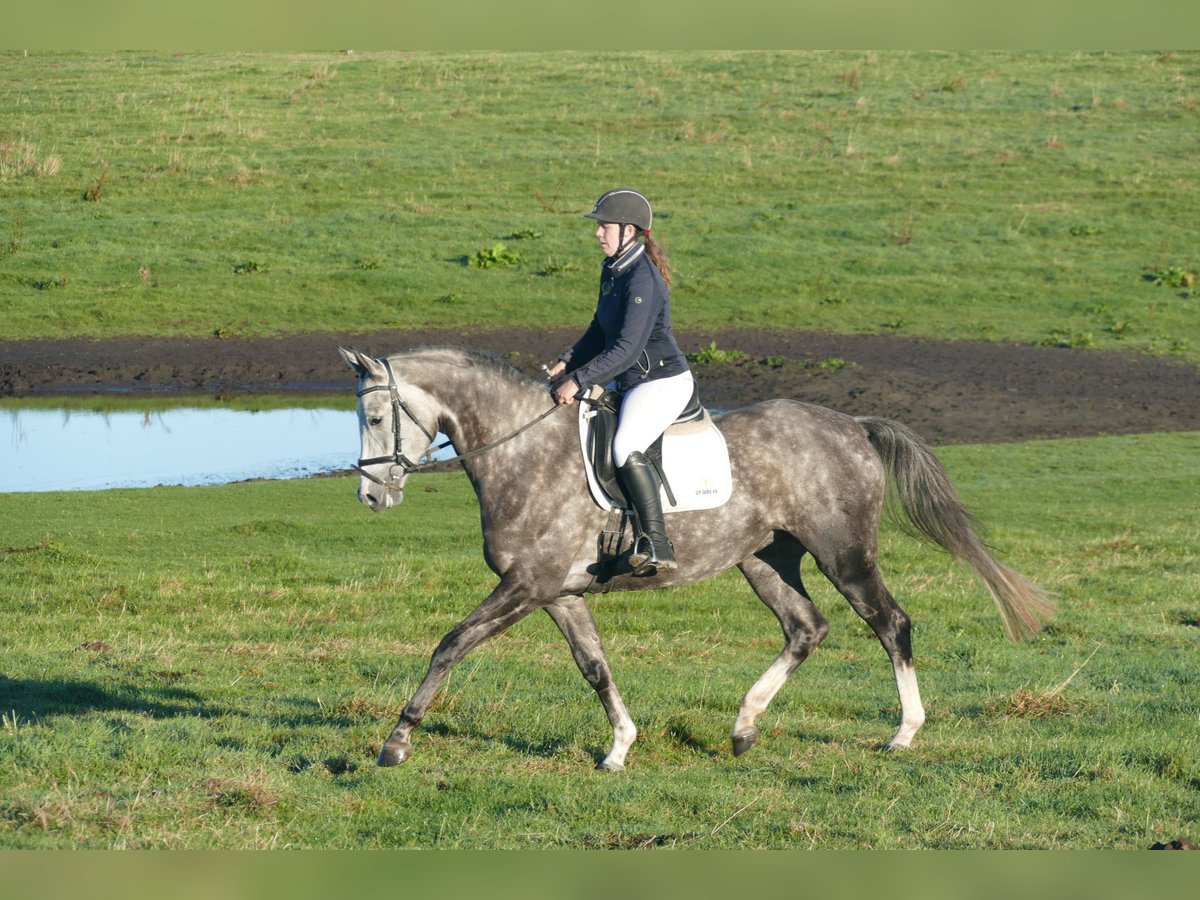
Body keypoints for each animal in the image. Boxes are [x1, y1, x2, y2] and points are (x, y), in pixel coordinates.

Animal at [339, 346, 1053, 770]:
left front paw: (396, 742)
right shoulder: (558, 593)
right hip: (765, 560)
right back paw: (743, 727)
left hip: (843, 553)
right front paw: (619, 748)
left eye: (374, 417)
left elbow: (451, 644)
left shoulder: (527, 585)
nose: (371, 496)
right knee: (806, 628)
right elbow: (594, 668)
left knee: (889, 624)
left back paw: (904, 732)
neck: (524, 453)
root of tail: (852, 425)